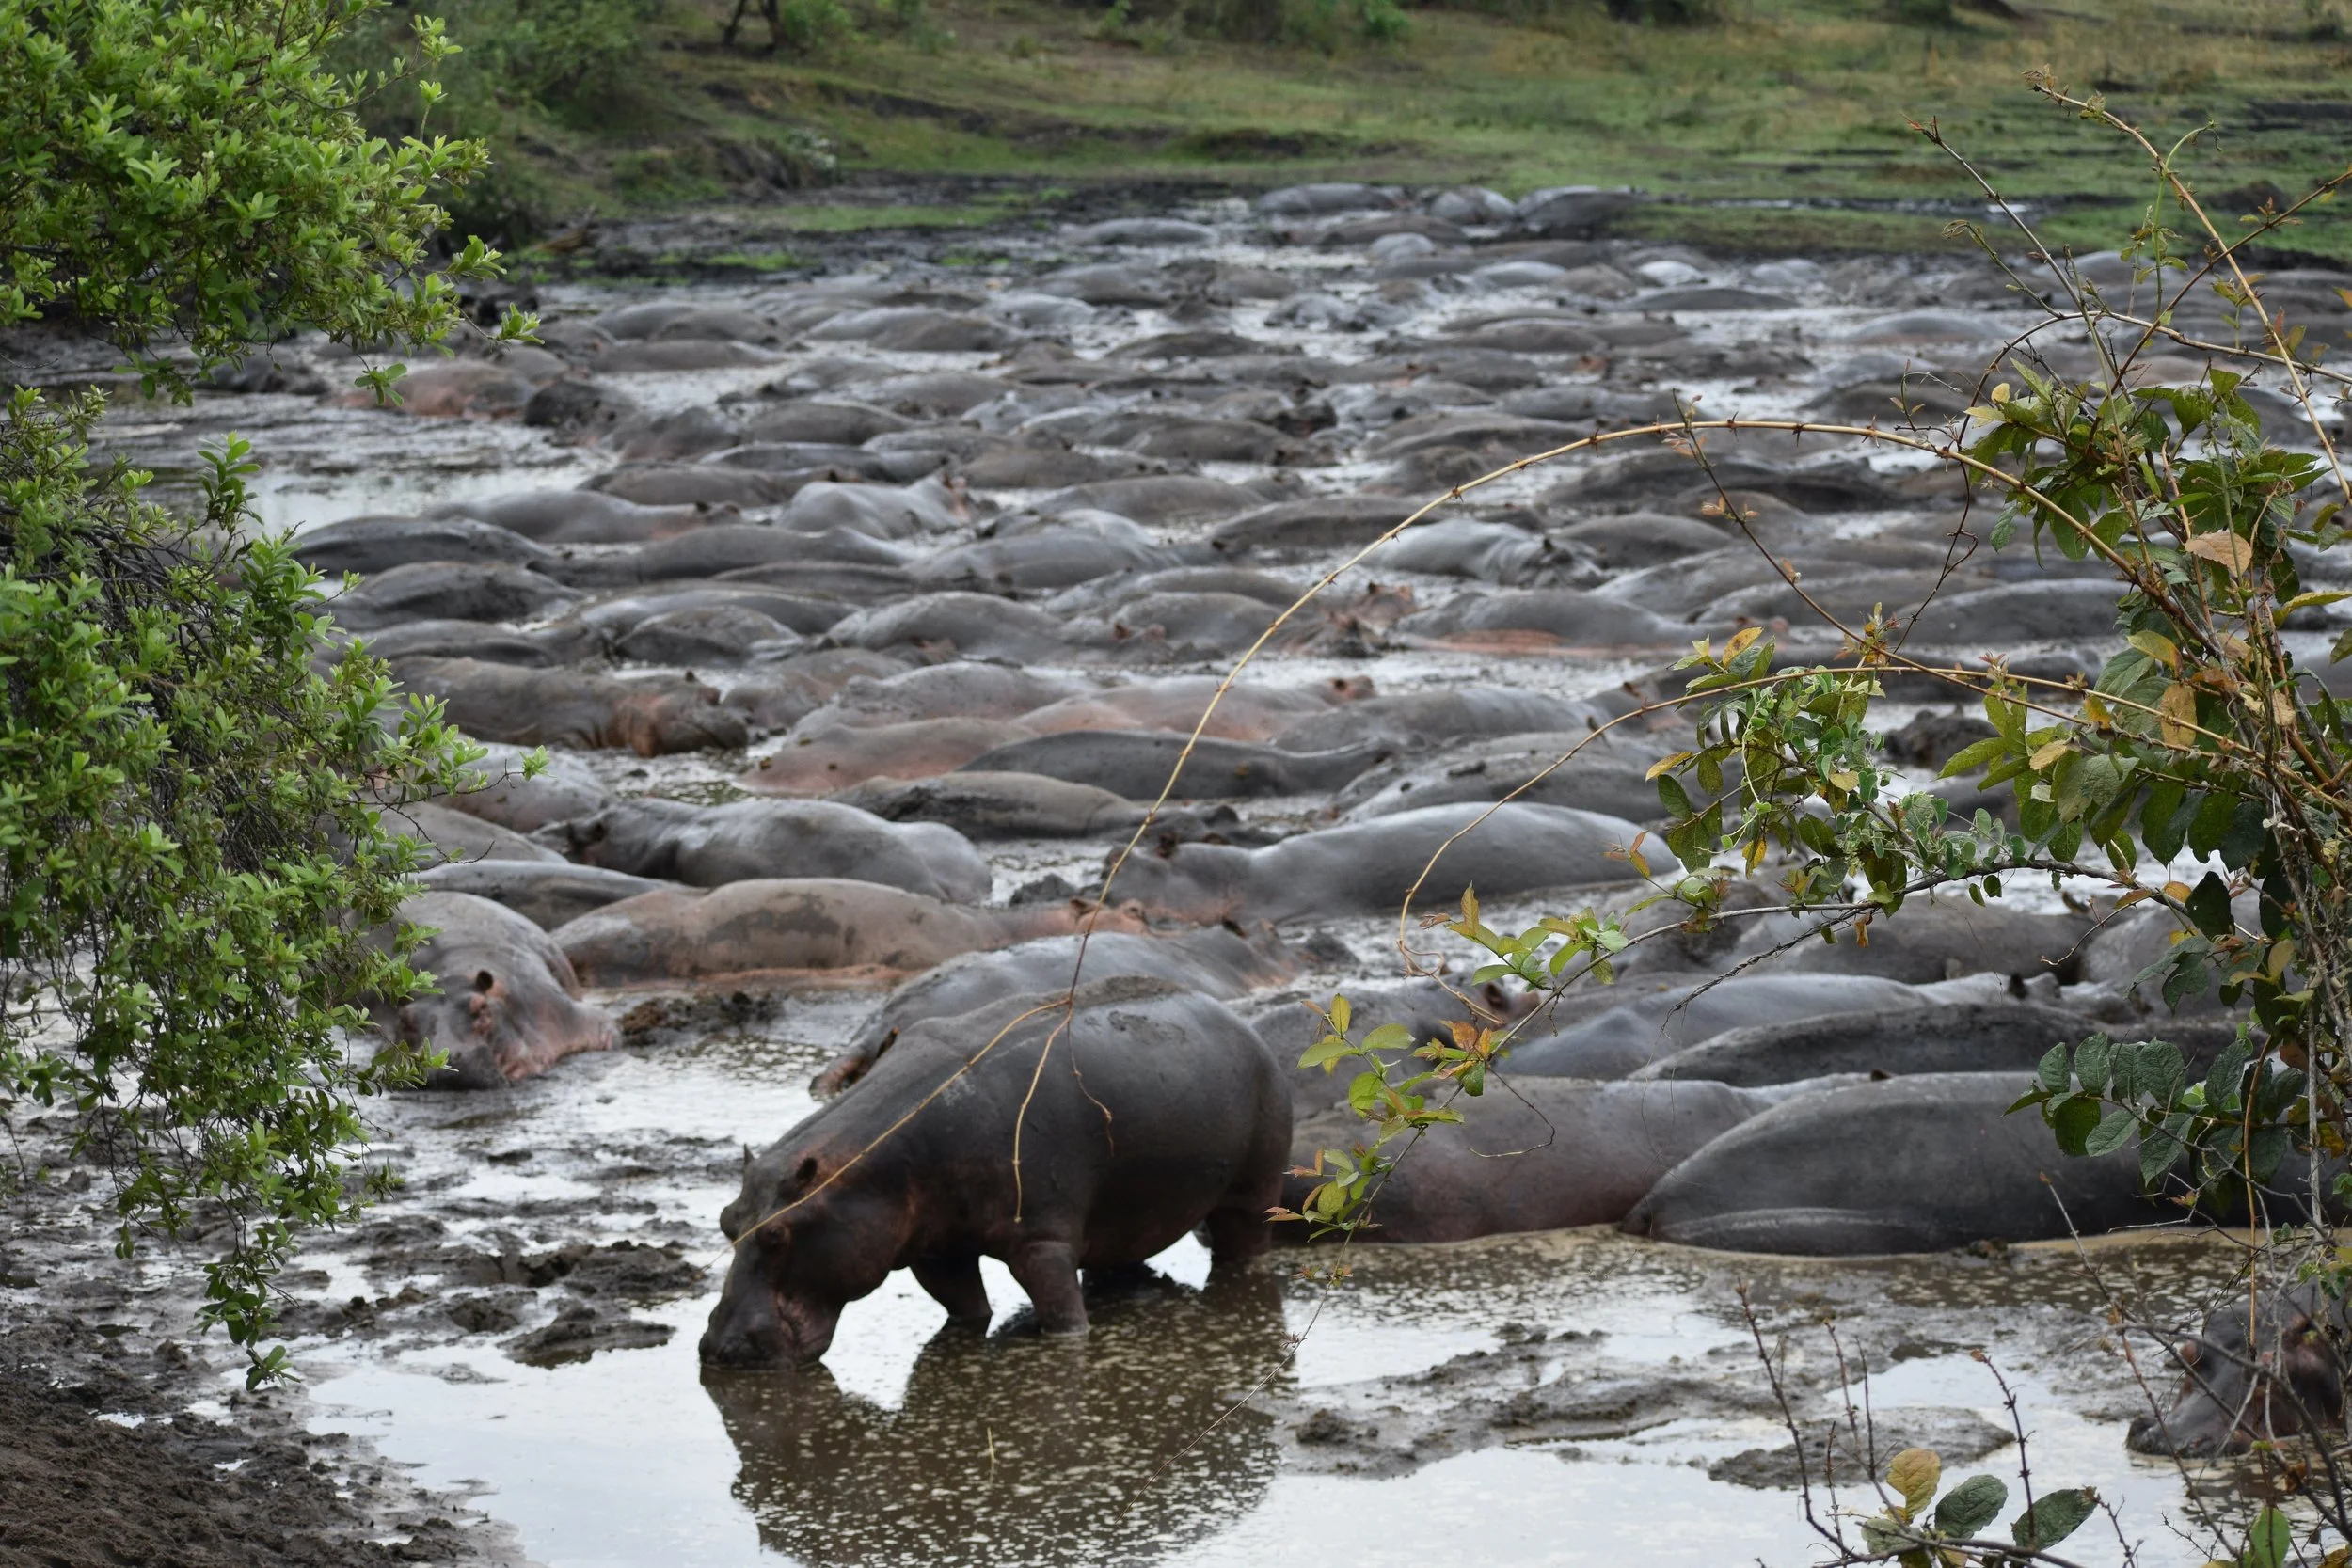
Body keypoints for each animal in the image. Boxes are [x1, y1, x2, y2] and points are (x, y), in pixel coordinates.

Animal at [700, 982, 1291, 1363]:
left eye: (776, 1235)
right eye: (727, 1221)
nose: (720, 1348)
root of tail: (1243, 1026)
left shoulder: (1043, 1242)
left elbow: (1064, 1317)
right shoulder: (933, 1250)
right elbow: (966, 1307)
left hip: (1251, 1192)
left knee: (1244, 1243)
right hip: (1128, 1217)